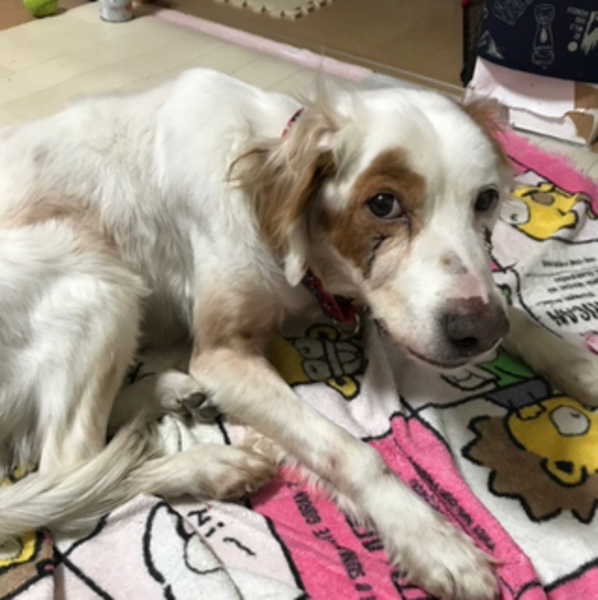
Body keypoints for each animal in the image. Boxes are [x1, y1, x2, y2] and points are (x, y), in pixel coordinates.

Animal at [0, 68, 597, 600]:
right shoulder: (223, 356)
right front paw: (430, 537)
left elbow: (513, 308)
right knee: (71, 472)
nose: (477, 332)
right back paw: (212, 465)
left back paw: (168, 391)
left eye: (487, 199)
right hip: (93, 274)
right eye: (383, 203)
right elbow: (349, 451)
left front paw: (578, 364)